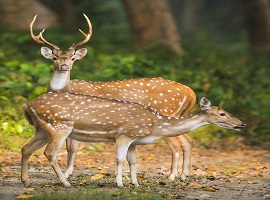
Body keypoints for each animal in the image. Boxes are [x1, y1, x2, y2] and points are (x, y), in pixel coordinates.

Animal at [22, 93, 246, 188]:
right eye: (223, 113)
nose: (241, 123)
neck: (155, 125)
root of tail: (27, 105)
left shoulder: (135, 140)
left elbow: (132, 161)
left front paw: (136, 183)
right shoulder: (123, 135)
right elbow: (120, 160)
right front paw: (120, 184)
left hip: (42, 129)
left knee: (26, 148)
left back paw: (25, 181)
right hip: (59, 126)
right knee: (49, 153)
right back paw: (66, 183)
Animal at [29, 14, 196, 180]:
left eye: (73, 58)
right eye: (54, 57)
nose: (64, 67)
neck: (67, 89)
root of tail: (191, 93)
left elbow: (73, 147)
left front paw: (66, 173)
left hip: (167, 113)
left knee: (176, 145)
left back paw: (172, 175)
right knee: (187, 141)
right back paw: (184, 174)